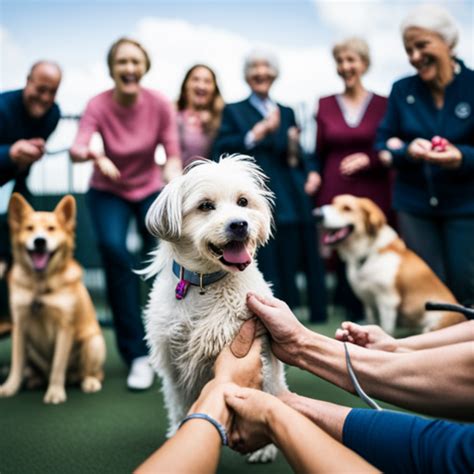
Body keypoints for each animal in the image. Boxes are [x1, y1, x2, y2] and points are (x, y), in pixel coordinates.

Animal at [0, 193, 105, 404]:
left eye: (51, 228)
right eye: (29, 228)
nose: (39, 241)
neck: (40, 288)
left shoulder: (65, 328)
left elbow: (58, 365)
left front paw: (55, 392)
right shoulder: (19, 326)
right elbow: (16, 363)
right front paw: (10, 387)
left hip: (94, 342)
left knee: (91, 372)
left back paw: (88, 381)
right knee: (41, 370)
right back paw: (35, 379)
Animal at [143, 156, 286, 462]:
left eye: (243, 201)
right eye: (206, 205)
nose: (240, 224)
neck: (204, 282)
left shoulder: (258, 353)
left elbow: (263, 400)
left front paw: (264, 447)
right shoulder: (174, 365)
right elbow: (179, 406)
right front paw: (179, 434)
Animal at [316, 194, 464, 336]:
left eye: (347, 208)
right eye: (333, 202)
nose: (316, 214)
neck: (368, 253)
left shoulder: (387, 301)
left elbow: (386, 329)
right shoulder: (368, 303)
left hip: (433, 323)